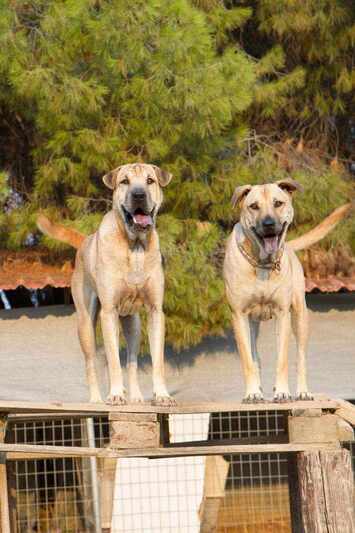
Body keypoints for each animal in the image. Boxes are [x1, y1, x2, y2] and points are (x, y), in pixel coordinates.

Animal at [38, 162, 175, 404]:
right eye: (125, 181)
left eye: (150, 181)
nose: (138, 195)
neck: (135, 246)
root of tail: (85, 240)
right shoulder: (108, 311)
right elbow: (112, 360)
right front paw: (116, 394)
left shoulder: (155, 310)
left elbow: (156, 360)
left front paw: (162, 395)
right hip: (86, 323)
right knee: (92, 363)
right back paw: (97, 400)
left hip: (133, 324)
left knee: (131, 360)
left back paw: (136, 397)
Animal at [224, 177, 352, 402]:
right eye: (254, 206)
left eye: (278, 203)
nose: (268, 224)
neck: (262, 264)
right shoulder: (239, 315)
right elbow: (248, 360)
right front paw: (252, 393)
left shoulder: (282, 313)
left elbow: (282, 358)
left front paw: (282, 391)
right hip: (253, 325)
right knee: (255, 357)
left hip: (300, 317)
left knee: (300, 357)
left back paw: (302, 391)